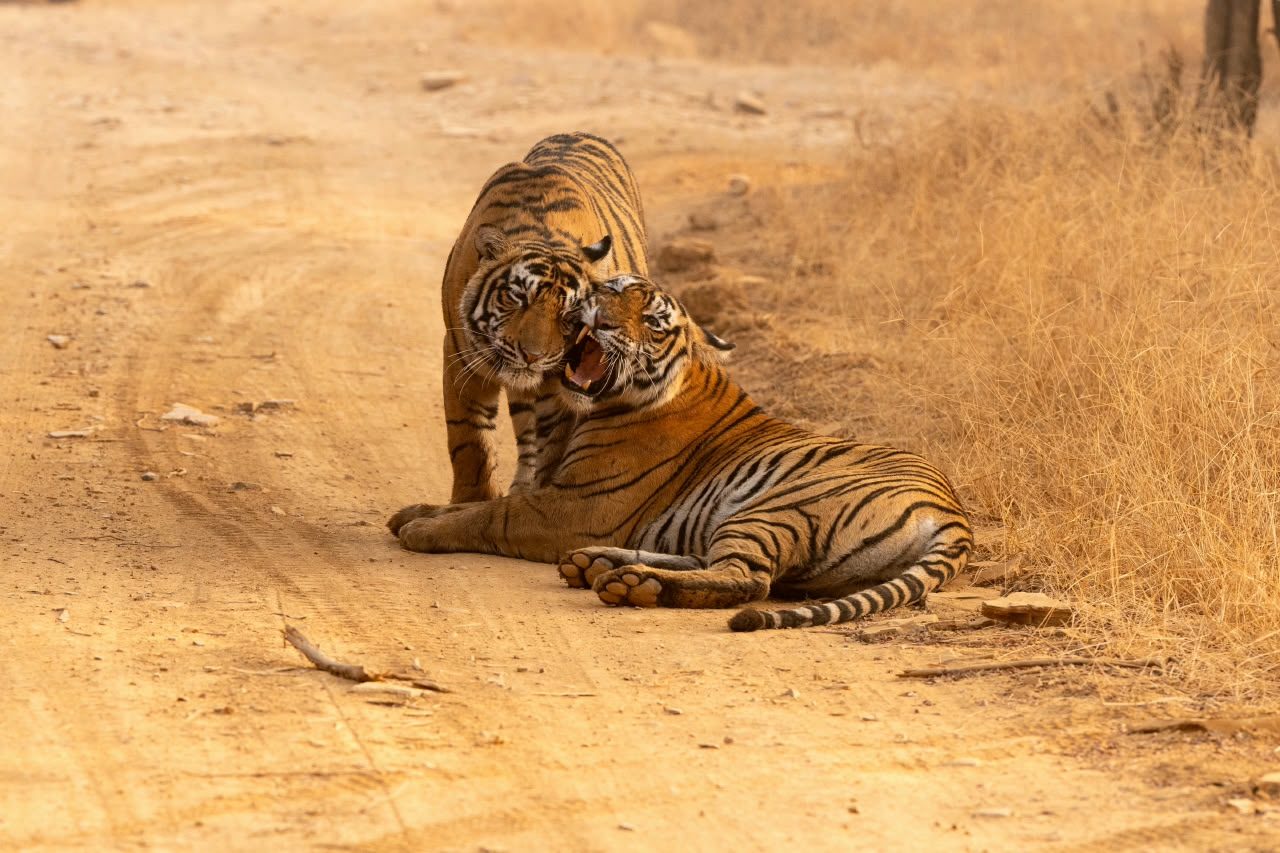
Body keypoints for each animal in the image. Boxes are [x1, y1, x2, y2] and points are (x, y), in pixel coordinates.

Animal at [388, 274, 972, 631]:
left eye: (651, 323)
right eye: (614, 289)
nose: (598, 317)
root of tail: (953, 515)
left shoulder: (576, 507)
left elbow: (491, 513)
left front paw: (421, 530)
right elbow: (475, 502)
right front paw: (412, 512)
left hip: (777, 508)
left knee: (746, 579)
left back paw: (632, 583)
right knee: (726, 565)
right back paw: (598, 565)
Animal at [435, 131, 647, 503]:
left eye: (569, 314)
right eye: (517, 298)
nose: (531, 357)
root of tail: (579, 132)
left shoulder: (563, 379)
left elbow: (554, 443)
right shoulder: (460, 357)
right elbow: (469, 438)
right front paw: (471, 500)